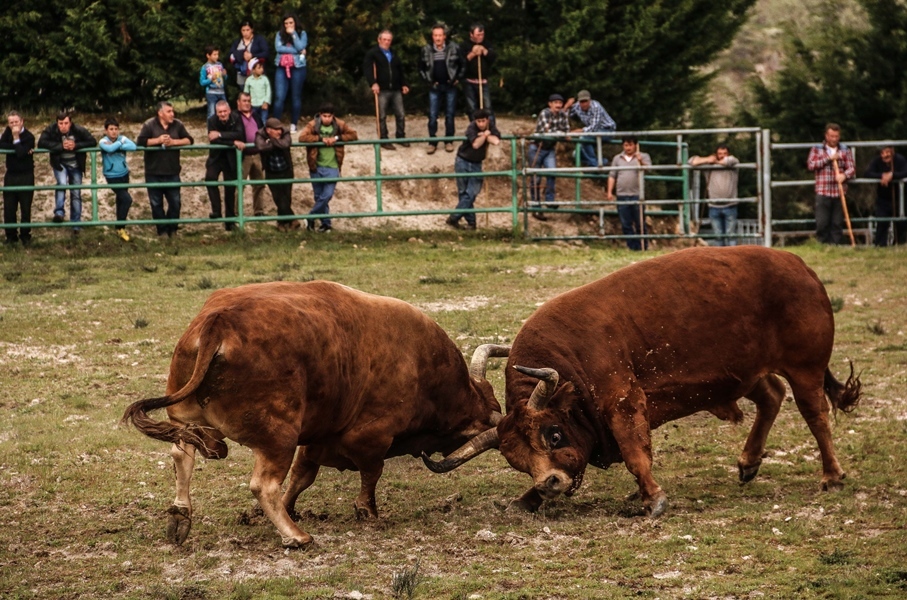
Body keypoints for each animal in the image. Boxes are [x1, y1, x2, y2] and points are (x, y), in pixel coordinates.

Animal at [122, 282, 510, 548]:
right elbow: (371, 474)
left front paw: (289, 506)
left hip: (188, 420)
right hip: (278, 436)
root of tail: (219, 321)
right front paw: (368, 512)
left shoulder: (319, 439)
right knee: (262, 484)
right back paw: (297, 536)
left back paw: (180, 518)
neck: (424, 365)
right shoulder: (371, 437)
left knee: (182, 455)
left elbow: (301, 477)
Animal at [422, 247, 860, 516]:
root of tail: (801, 268)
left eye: (553, 434)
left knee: (815, 415)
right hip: (743, 374)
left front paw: (653, 499)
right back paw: (748, 464)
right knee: (771, 396)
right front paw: (526, 498)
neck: (571, 361)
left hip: (805, 370)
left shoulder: (623, 402)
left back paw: (832, 476)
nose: (549, 483)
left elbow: (636, 454)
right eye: (516, 460)